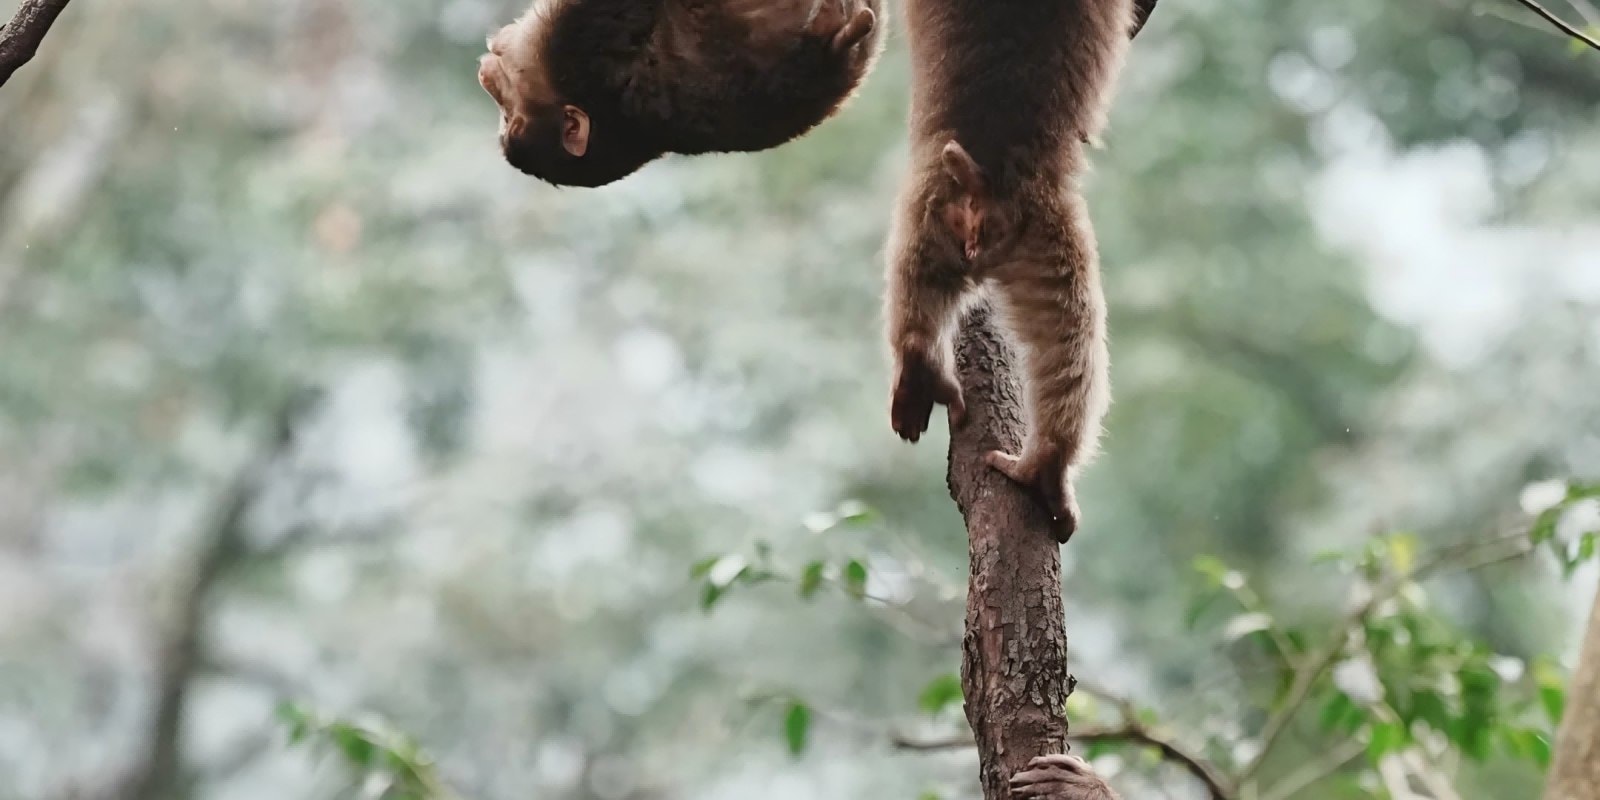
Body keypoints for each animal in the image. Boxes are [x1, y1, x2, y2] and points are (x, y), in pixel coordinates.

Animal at [883, 0, 1132, 544]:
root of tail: (987, 188)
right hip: (1045, 238)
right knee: (1071, 340)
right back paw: (1047, 466)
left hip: (945, 204)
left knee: (915, 280)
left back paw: (920, 361)